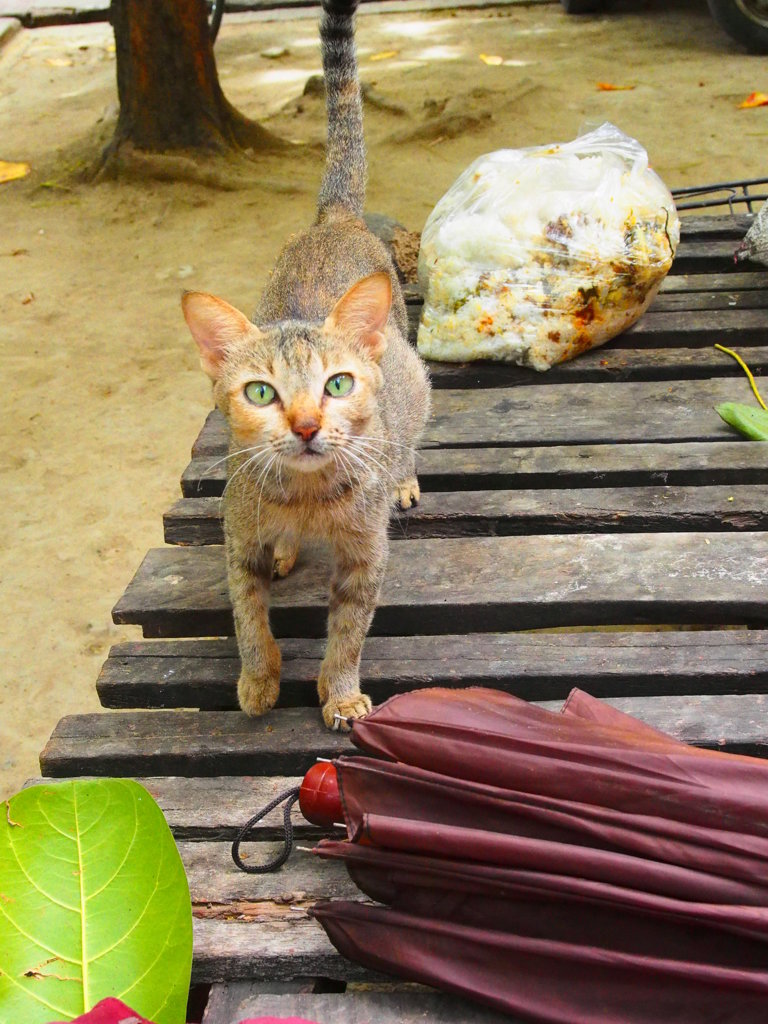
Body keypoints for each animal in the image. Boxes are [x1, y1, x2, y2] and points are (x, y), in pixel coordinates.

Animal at [182, 0, 430, 729]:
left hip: (414, 381)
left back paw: (404, 477)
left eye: (337, 384)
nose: (307, 425)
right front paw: (258, 681)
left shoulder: (366, 556)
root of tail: (335, 216)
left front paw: (340, 691)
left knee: (408, 436)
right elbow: (249, 623)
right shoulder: (237, 541)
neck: (307, 499)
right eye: (261, 393)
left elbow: (348, 631)